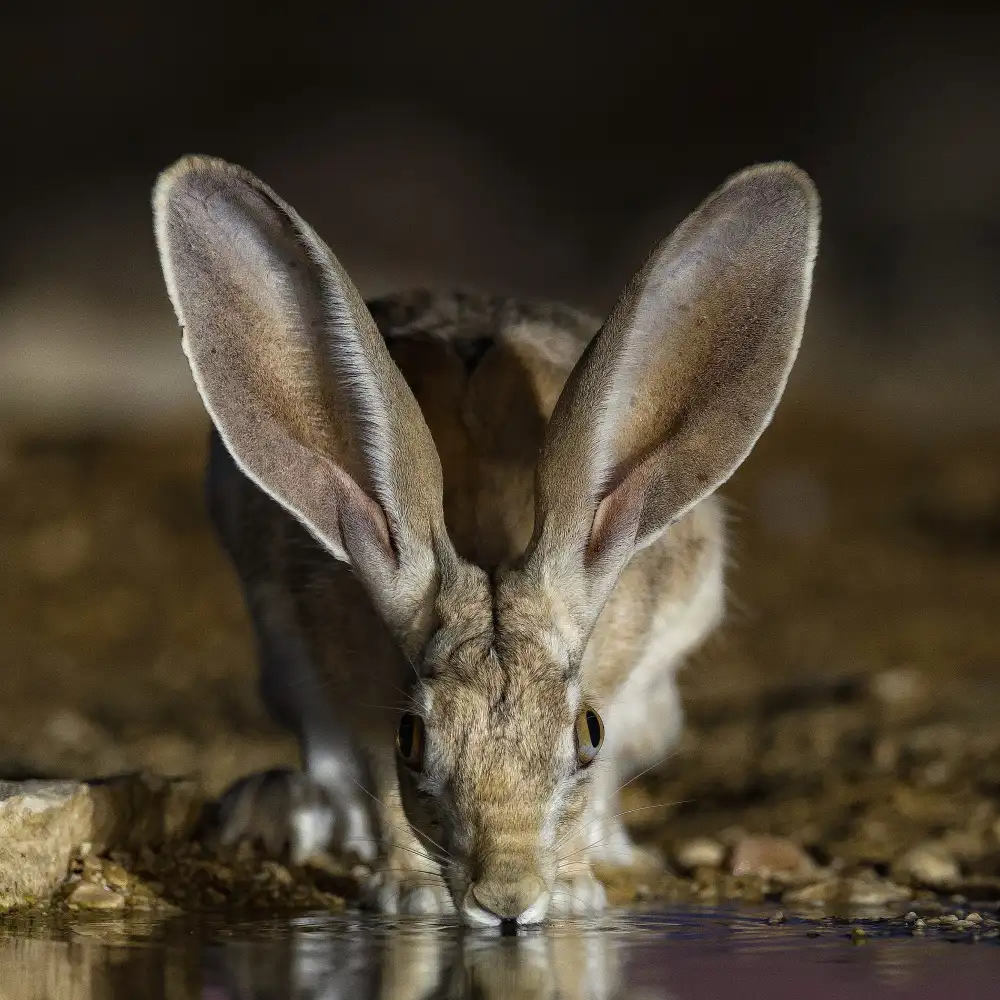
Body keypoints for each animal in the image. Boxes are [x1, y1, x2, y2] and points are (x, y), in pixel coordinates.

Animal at [152, 154, 819, 927]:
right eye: (414, 738)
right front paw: (408, 893)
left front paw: (575, 890)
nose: (507, 902)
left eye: (586, 733)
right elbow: (381, 787)